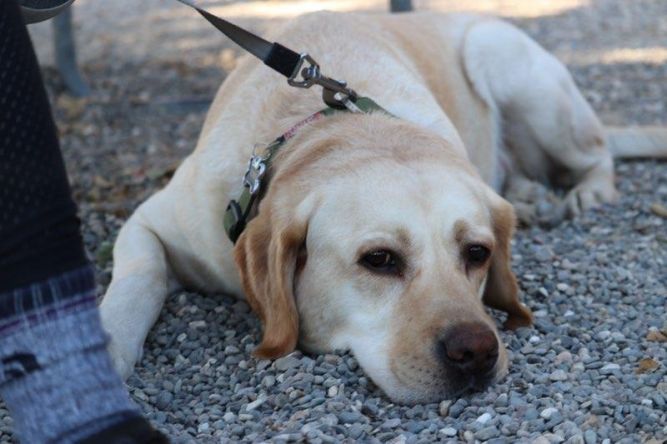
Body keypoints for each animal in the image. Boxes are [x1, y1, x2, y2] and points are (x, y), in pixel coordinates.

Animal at [100, 12, 667, 404]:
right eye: (379, 260)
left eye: (477, 253)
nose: (477, 352)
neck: (328, 129)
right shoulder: (148, 223)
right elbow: (136, 279)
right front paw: (103, 349)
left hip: (505, 60)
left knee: (598, 155)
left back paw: (586, 193)